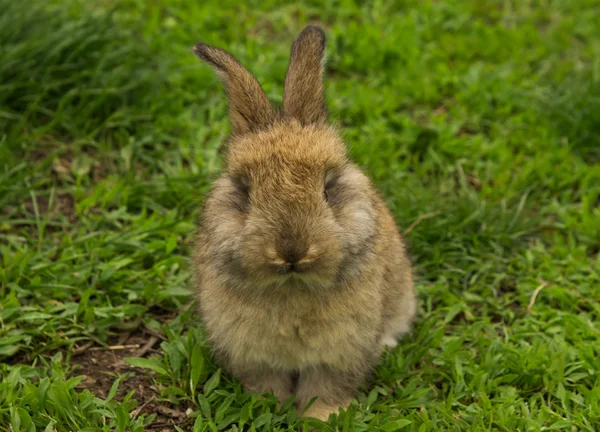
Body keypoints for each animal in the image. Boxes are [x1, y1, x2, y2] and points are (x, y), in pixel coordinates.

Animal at [193, 25, 418, 420]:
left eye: (329, 187)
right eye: (245, 190)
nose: (292, 251)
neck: (293, 286)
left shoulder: (340, 356)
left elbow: (325, 388)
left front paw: (322, 418)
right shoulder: (254, 357)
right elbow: (267, 384)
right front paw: (268, 409)